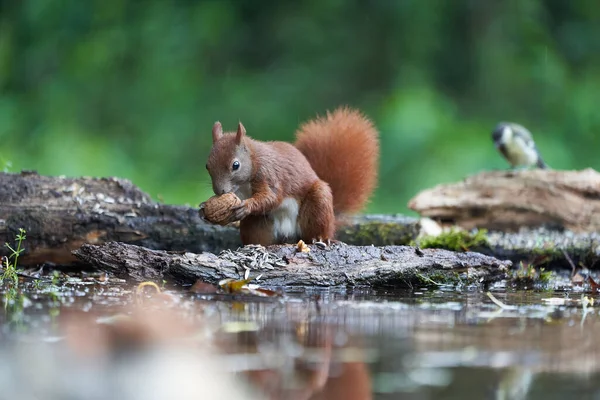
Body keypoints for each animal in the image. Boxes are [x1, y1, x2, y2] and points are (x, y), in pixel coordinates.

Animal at [206, 106, 380, 245]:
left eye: (235, 165)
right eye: (207, 165)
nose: (220, 191)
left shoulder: (268, 175)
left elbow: (271, 197)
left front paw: (246, 206)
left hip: (317, 207)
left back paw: (321, 238)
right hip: (258, 224)